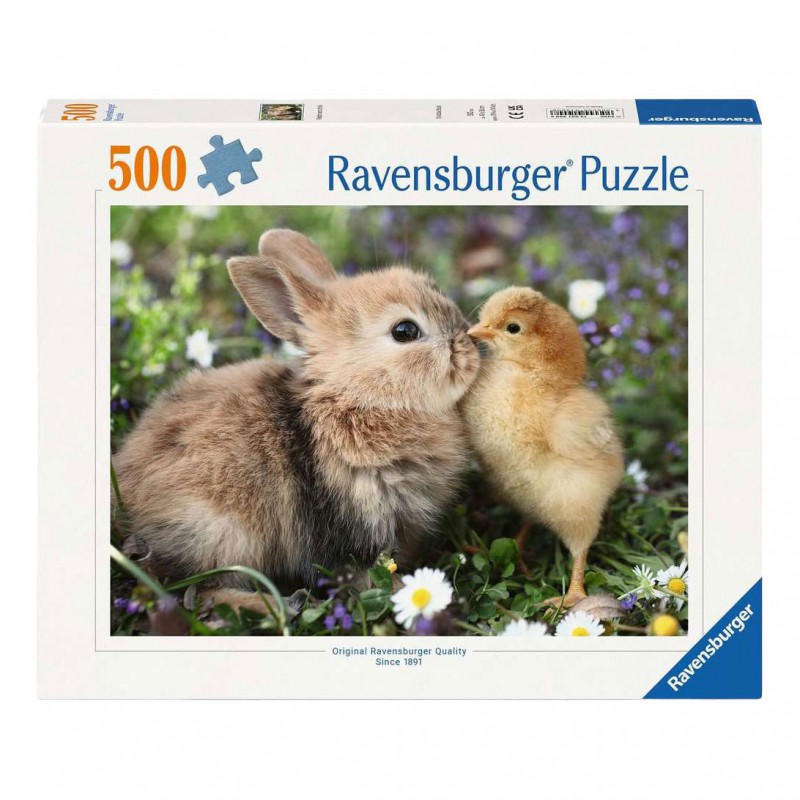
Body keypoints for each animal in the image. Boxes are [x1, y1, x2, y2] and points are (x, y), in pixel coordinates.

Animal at [113, 229, 480, 594]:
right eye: (405, 331)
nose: (471, 345)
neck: (356, 395)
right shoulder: (350, 524)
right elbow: (361, 571)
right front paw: (403, 588)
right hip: (223, 533)